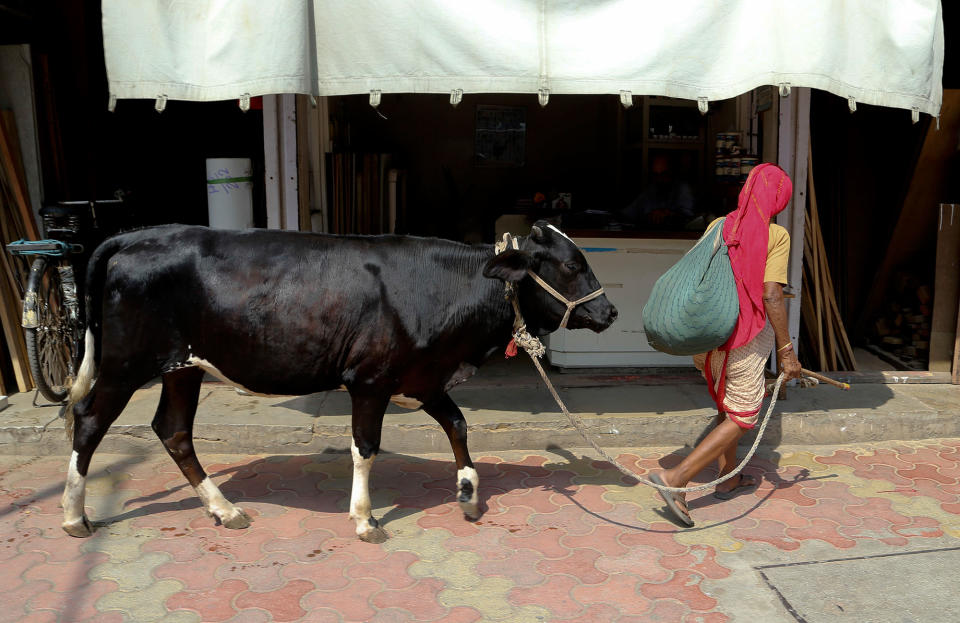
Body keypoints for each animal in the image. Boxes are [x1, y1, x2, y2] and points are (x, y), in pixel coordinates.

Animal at [62, 222, 616, 544]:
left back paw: (226, 509)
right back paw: (74, 516)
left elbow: (458, 425)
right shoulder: (370, 379)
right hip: (126, 361)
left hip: (184, 365)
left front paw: (468, 492)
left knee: (173, 430)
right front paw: (365, 519)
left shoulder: (422, 377)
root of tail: (137, 235)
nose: (610, 312)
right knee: (88, 420)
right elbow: (365, 447)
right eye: (572, 264)